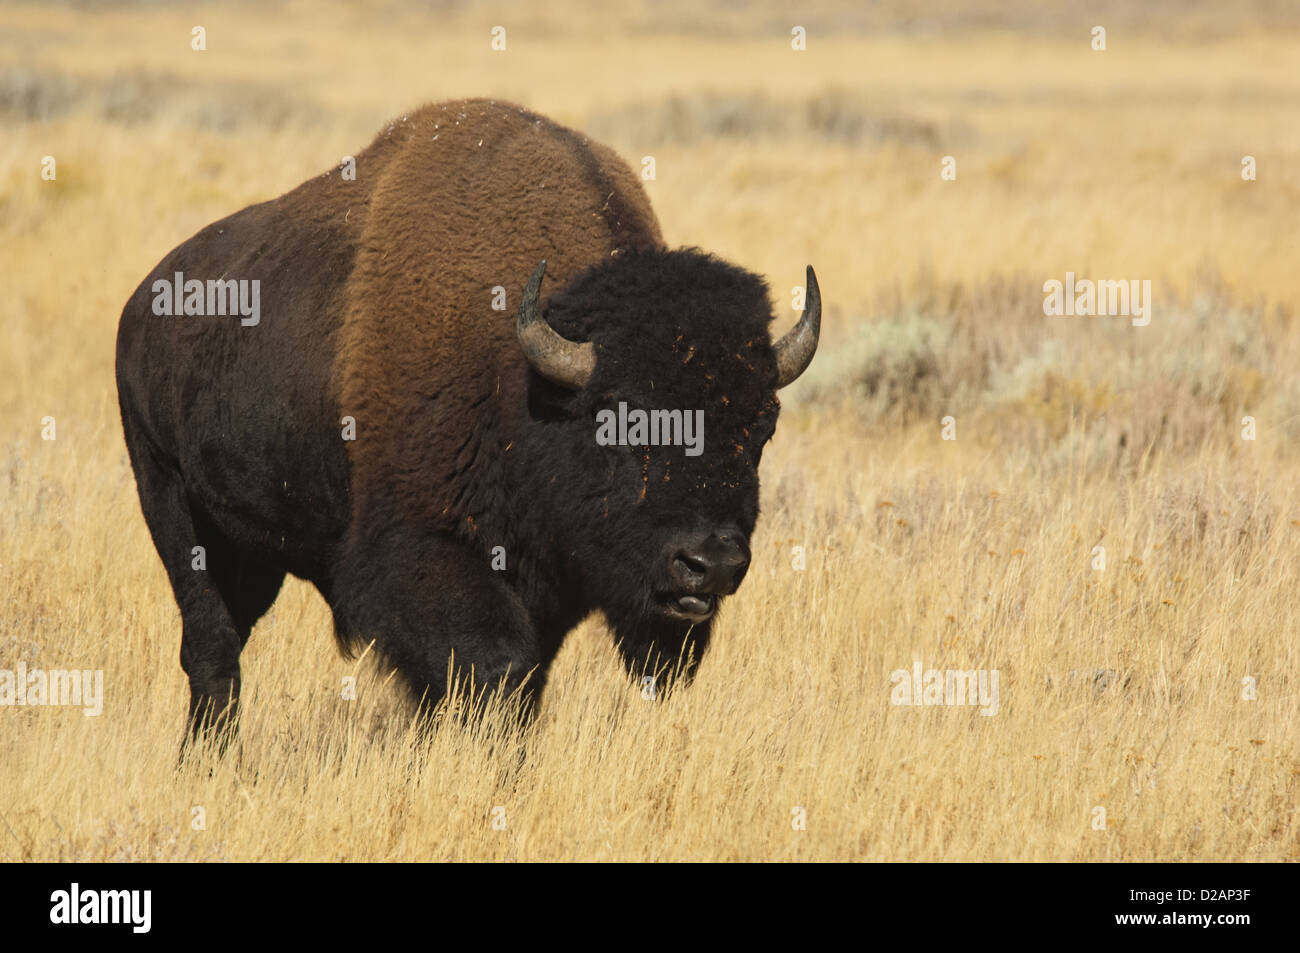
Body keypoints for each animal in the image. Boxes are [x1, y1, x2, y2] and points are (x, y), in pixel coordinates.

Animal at [114, 98, 821, 743]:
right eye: (624, 421)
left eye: (762, 430)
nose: (710, 563)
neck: (529, 383)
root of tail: (141, 303)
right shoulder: (425, 554)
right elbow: (495, 671)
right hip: (172, 504)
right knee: (211, 645)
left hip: (255, 548)